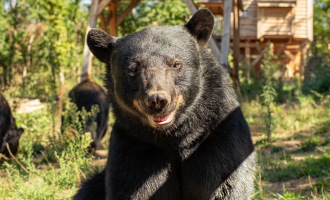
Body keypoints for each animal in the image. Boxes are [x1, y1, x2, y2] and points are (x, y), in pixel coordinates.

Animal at [75, 8, 255, 199]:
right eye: (133, 69)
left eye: (176, 64)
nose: (157, 101)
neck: (173, 135)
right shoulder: (134, 144)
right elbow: (134, 187)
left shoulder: (219, 133)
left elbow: (225, 183)